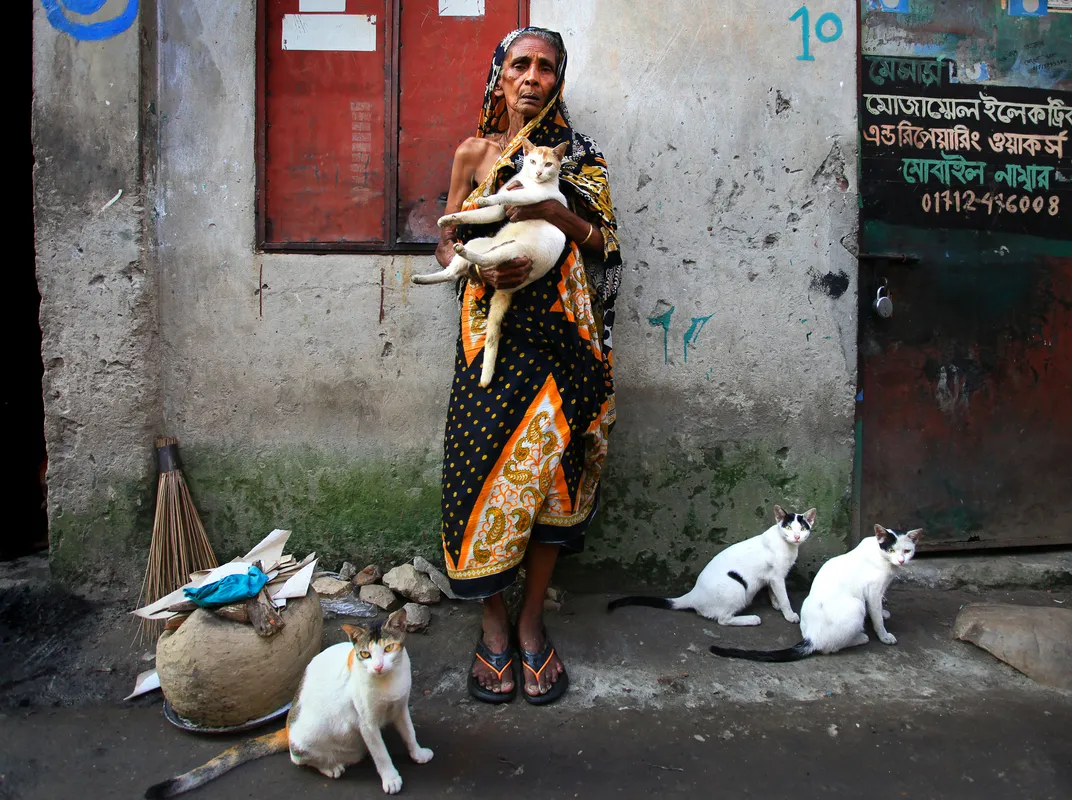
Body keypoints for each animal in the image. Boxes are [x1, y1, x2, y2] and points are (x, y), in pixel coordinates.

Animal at [145, 609, 430, 793]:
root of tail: (287, 727)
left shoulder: (400, 706)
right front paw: (391, 779)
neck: (388, 683)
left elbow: (409, 732)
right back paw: (330, 767)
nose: (379, 666)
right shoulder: (366, 724)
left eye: (389, 649)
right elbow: (380, 754)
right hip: (314, 737)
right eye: (365, 654)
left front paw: (417, 753)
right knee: (298, 757)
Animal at [413, 137, 574, 386]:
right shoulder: (498, 212)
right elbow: (474, 214)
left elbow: (506, 196)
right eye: (533, 161)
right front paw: (448, 218)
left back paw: (466, 253)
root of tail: (509, 288)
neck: (528, 181)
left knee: (487, 260)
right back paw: (422, 277)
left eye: (548, 164)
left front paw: (484, 197)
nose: (539, 172)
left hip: (515, 250)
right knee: (454, 271)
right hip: (478, 241)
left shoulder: (533, 198)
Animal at [608, 504, 814, 621]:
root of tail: (693, 594)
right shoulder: (778, 576)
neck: (788, 546)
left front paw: (776, 604)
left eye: (803, 529)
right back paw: (751, 619)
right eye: (789, 527)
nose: (797, 536)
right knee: (722, 619)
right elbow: (784, 597)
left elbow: (773, 592)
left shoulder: (772, 576)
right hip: (736, 588)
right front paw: (789, 614)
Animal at [707, 523, 926, 660]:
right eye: (891, 550)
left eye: (907, 551)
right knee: (831, 648)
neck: (886, 562)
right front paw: (884, 635)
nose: (901, 560)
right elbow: (877, 615)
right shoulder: (872, 591)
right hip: (856, 606)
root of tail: (811, 638)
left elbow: (879, 609)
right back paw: (861, 638)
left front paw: (884, 612)